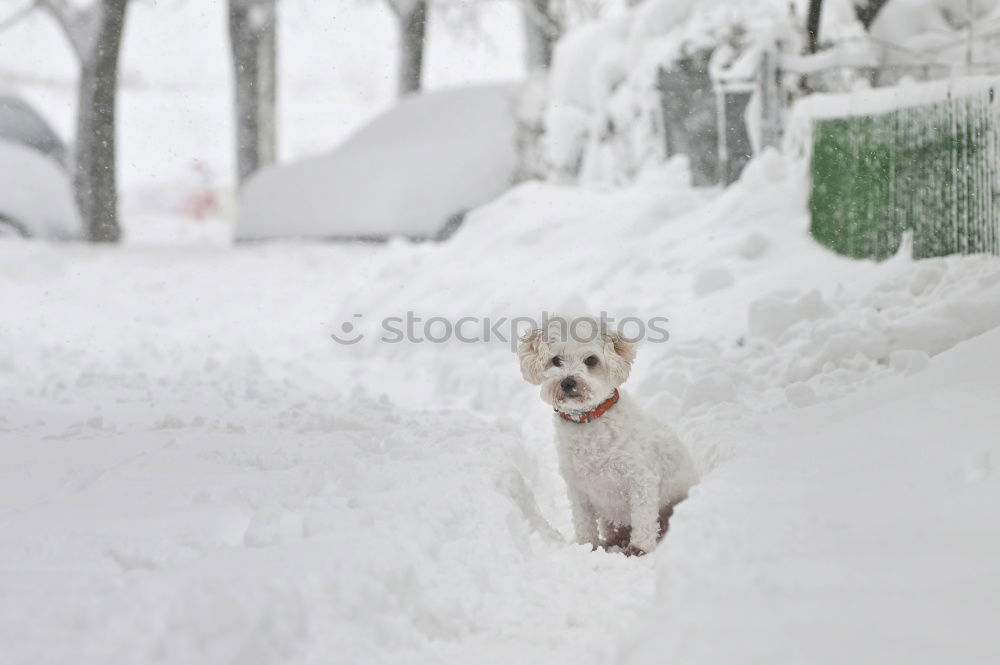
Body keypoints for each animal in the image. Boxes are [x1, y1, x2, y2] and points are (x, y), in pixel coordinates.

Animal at [520, 316, 700, 556]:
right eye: (556, 360)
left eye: (591, 360)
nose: (568, 382)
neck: (588, 422)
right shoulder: (578, 488)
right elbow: (584, 523)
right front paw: (587, 547)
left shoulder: (641, 479)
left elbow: (643, 520)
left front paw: (639, 549)